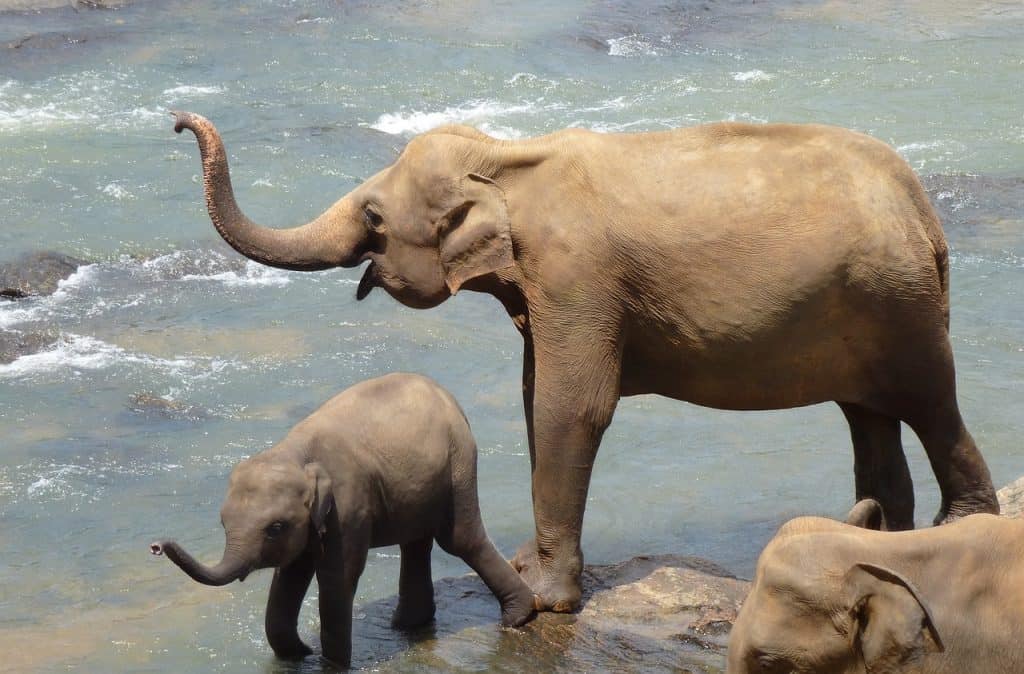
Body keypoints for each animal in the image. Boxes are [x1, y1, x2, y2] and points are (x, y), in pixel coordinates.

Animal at [153, 372, 536, 667]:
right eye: (222, 524)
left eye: (275, 528)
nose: (156, 545)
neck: (296, 454)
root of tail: (449, 397)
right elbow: (290, 575)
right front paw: (298, 655)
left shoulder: (347, 506)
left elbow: (337, 576)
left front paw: (330, 664)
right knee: (416, 543)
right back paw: (408, 627)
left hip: (458, 465)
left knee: (459, 539)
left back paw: (518, 617)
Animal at [169, 111, 999, 610]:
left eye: (373, 217)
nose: (179, 120)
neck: (506, 160)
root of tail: (922, 203)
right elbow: (535, 393)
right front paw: (529, 576)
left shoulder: (579, 279)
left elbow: (570, 405)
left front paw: (548, 600)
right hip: (866, 303)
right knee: (870, 417)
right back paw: (881, 535)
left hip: (900, 303)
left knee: (932, 402)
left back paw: (962, 526)